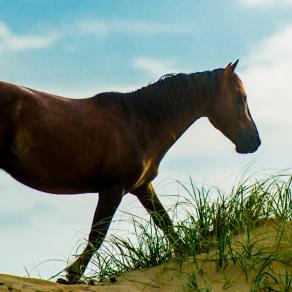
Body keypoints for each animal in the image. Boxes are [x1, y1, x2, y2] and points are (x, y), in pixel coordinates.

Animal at [0, 61, 260, 282]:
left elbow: (165, 222)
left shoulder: (142, 187)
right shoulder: (113, 189)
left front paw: (188, 253)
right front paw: (72, 275)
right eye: (242, 97)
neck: (140, 123)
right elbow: (98, 234)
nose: (254, 142)